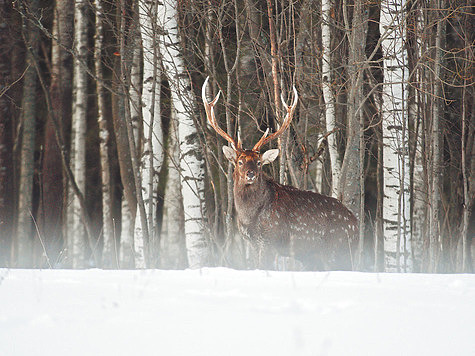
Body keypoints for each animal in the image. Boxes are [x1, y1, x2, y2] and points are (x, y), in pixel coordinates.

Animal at [203, 76, 358, 270]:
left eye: (259, 162)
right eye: (239, 162)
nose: (250, 174)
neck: (249, 217)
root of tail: (356, 225)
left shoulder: (271, 239)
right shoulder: (252, 242)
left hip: (337, 249)